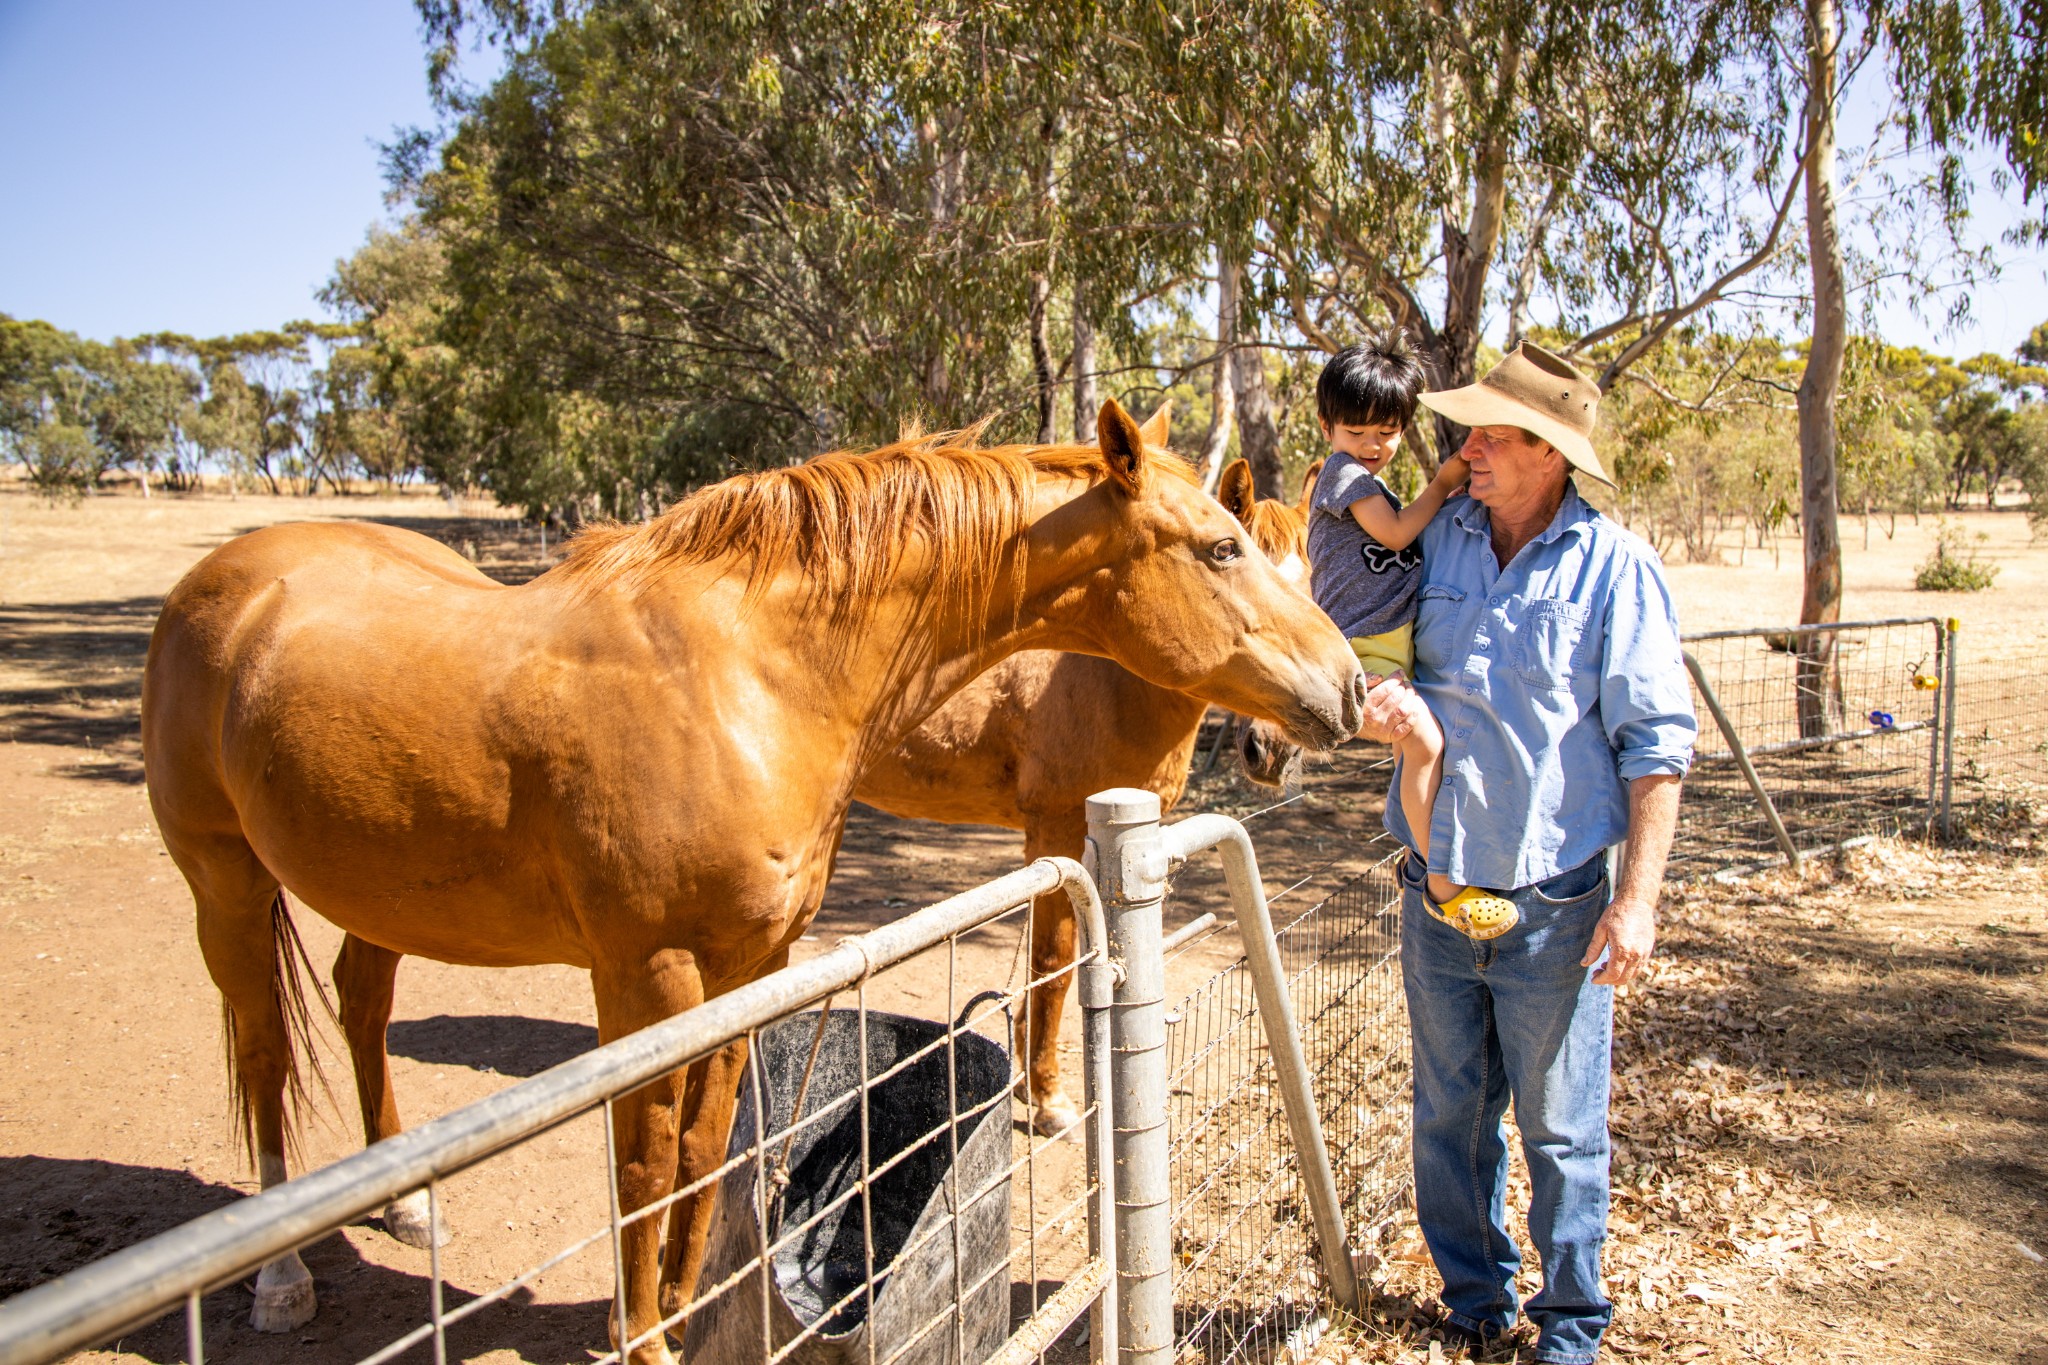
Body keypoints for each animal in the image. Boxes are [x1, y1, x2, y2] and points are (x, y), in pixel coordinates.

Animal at [851, 454, 1302, 1137]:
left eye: (1315, 579)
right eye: (1231, 556)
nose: (1273, 750)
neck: (1105, 677)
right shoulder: (1056, 834)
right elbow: (1055, 966)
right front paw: (1047, 1099)